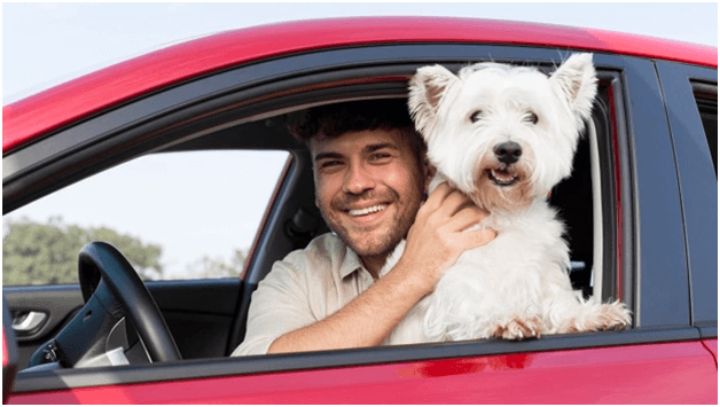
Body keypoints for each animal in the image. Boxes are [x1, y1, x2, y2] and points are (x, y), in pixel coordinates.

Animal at [382, 52, 632, 342]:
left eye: (532, 117)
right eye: (476, 116)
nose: (509, 150)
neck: (503, 208)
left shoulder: (543, 269)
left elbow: (557, 300)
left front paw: (591, 315)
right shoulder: (452, 275)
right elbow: (470, 301)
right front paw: (507, 319)